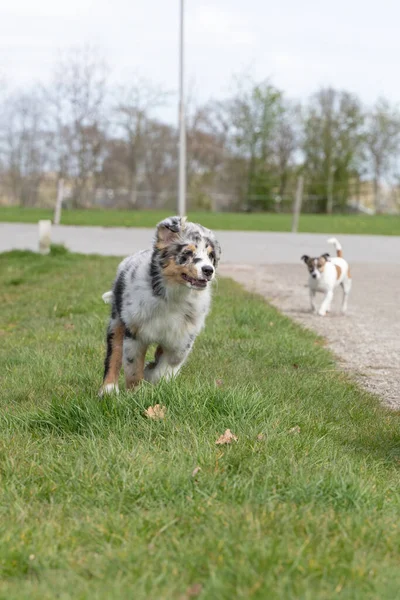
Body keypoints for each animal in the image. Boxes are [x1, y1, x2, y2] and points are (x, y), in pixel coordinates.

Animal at [99, 214, 220, 394]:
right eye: (188, 253)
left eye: (211, 256)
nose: (208, 270)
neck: (174, 296)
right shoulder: (135, 332)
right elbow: (133, 366)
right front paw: (136, 392)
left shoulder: (182, 337)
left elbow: (170, 363)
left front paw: (153, 375)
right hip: (117, 320)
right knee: (114, 352)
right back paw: (108, 389)